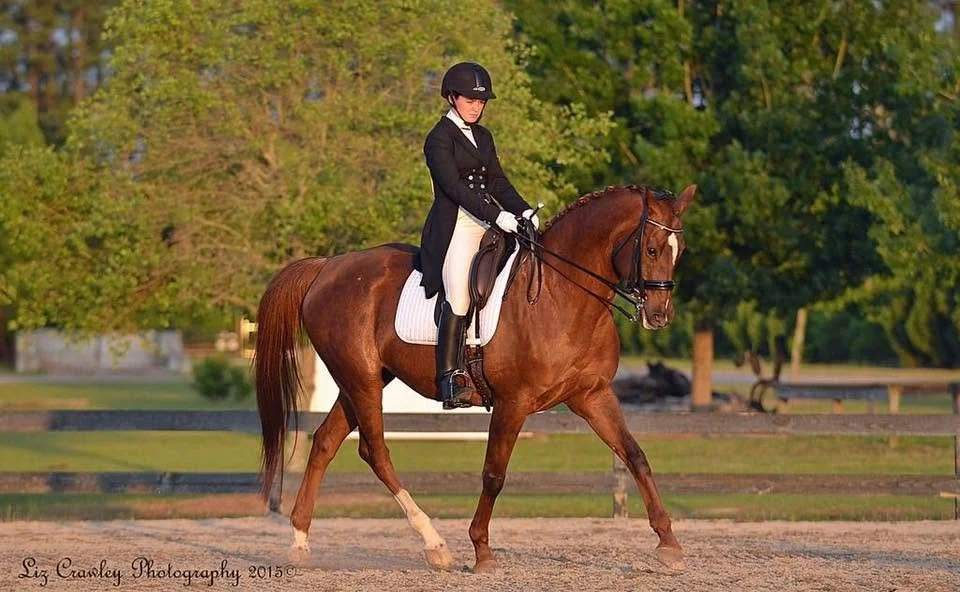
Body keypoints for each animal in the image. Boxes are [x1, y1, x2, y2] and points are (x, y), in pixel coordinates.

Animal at [254, 183, 696, 573]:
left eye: (680, 253)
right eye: (652, 248)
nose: (658, 315)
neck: (560, 295)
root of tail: (327, 266)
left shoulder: (593, 395)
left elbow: (635, 456)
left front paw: (670, 546)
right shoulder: (513, 402)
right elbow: (494, 474)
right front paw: (482, 551)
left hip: (362, 381)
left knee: (325, 443)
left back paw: (300, 543)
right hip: (362, 382)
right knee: (374, 451)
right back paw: (435, 546)